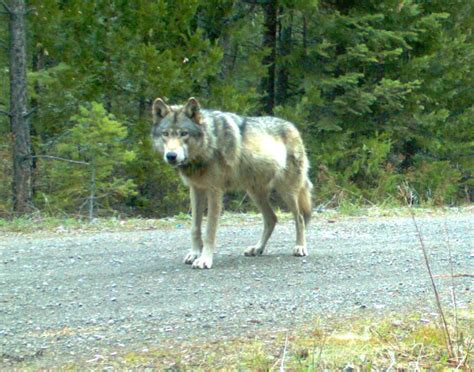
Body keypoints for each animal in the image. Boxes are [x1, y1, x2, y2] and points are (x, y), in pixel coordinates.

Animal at [151, 97, 312, 268]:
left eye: (184, 134)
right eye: (165, 134)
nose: (171, 156)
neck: (209, 142)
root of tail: (293, 127)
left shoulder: (214, 191)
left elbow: (209, 230)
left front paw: (204, 259)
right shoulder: (196, 190)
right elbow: (195, 228)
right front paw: (194, 254)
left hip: (287, 192)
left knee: (300, 218)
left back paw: (300, 247)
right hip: (255, 193)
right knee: (272, 219)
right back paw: (257, 248)